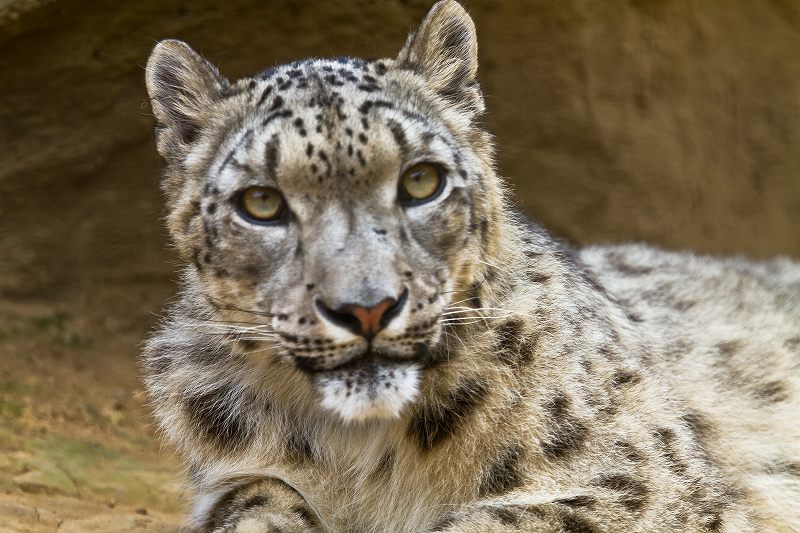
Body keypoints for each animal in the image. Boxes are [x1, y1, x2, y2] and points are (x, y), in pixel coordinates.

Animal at [141, 2, 796, 528]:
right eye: (261, 202)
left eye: (421, 181)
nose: (367, 308)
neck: (362, 451)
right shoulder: (240, 475)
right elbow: (258, 504)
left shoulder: (644, 483)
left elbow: (505, 520)